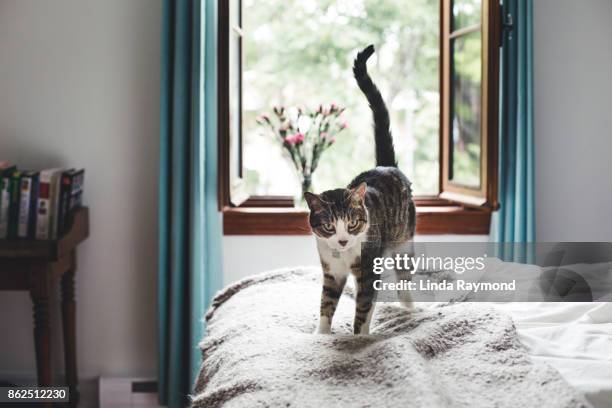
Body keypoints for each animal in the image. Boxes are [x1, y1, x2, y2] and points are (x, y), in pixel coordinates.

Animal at [304, 44, 416, 334]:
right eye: (329, 226)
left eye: (353, 223)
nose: (343, 240)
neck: (343, 254)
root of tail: (386, 165)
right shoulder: (331, 271)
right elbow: (326, 303)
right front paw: (321, 335)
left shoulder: (367, 270)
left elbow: (364, 307)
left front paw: (359, 339)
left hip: (403, 241)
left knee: (404, 279)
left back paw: (410, 310)